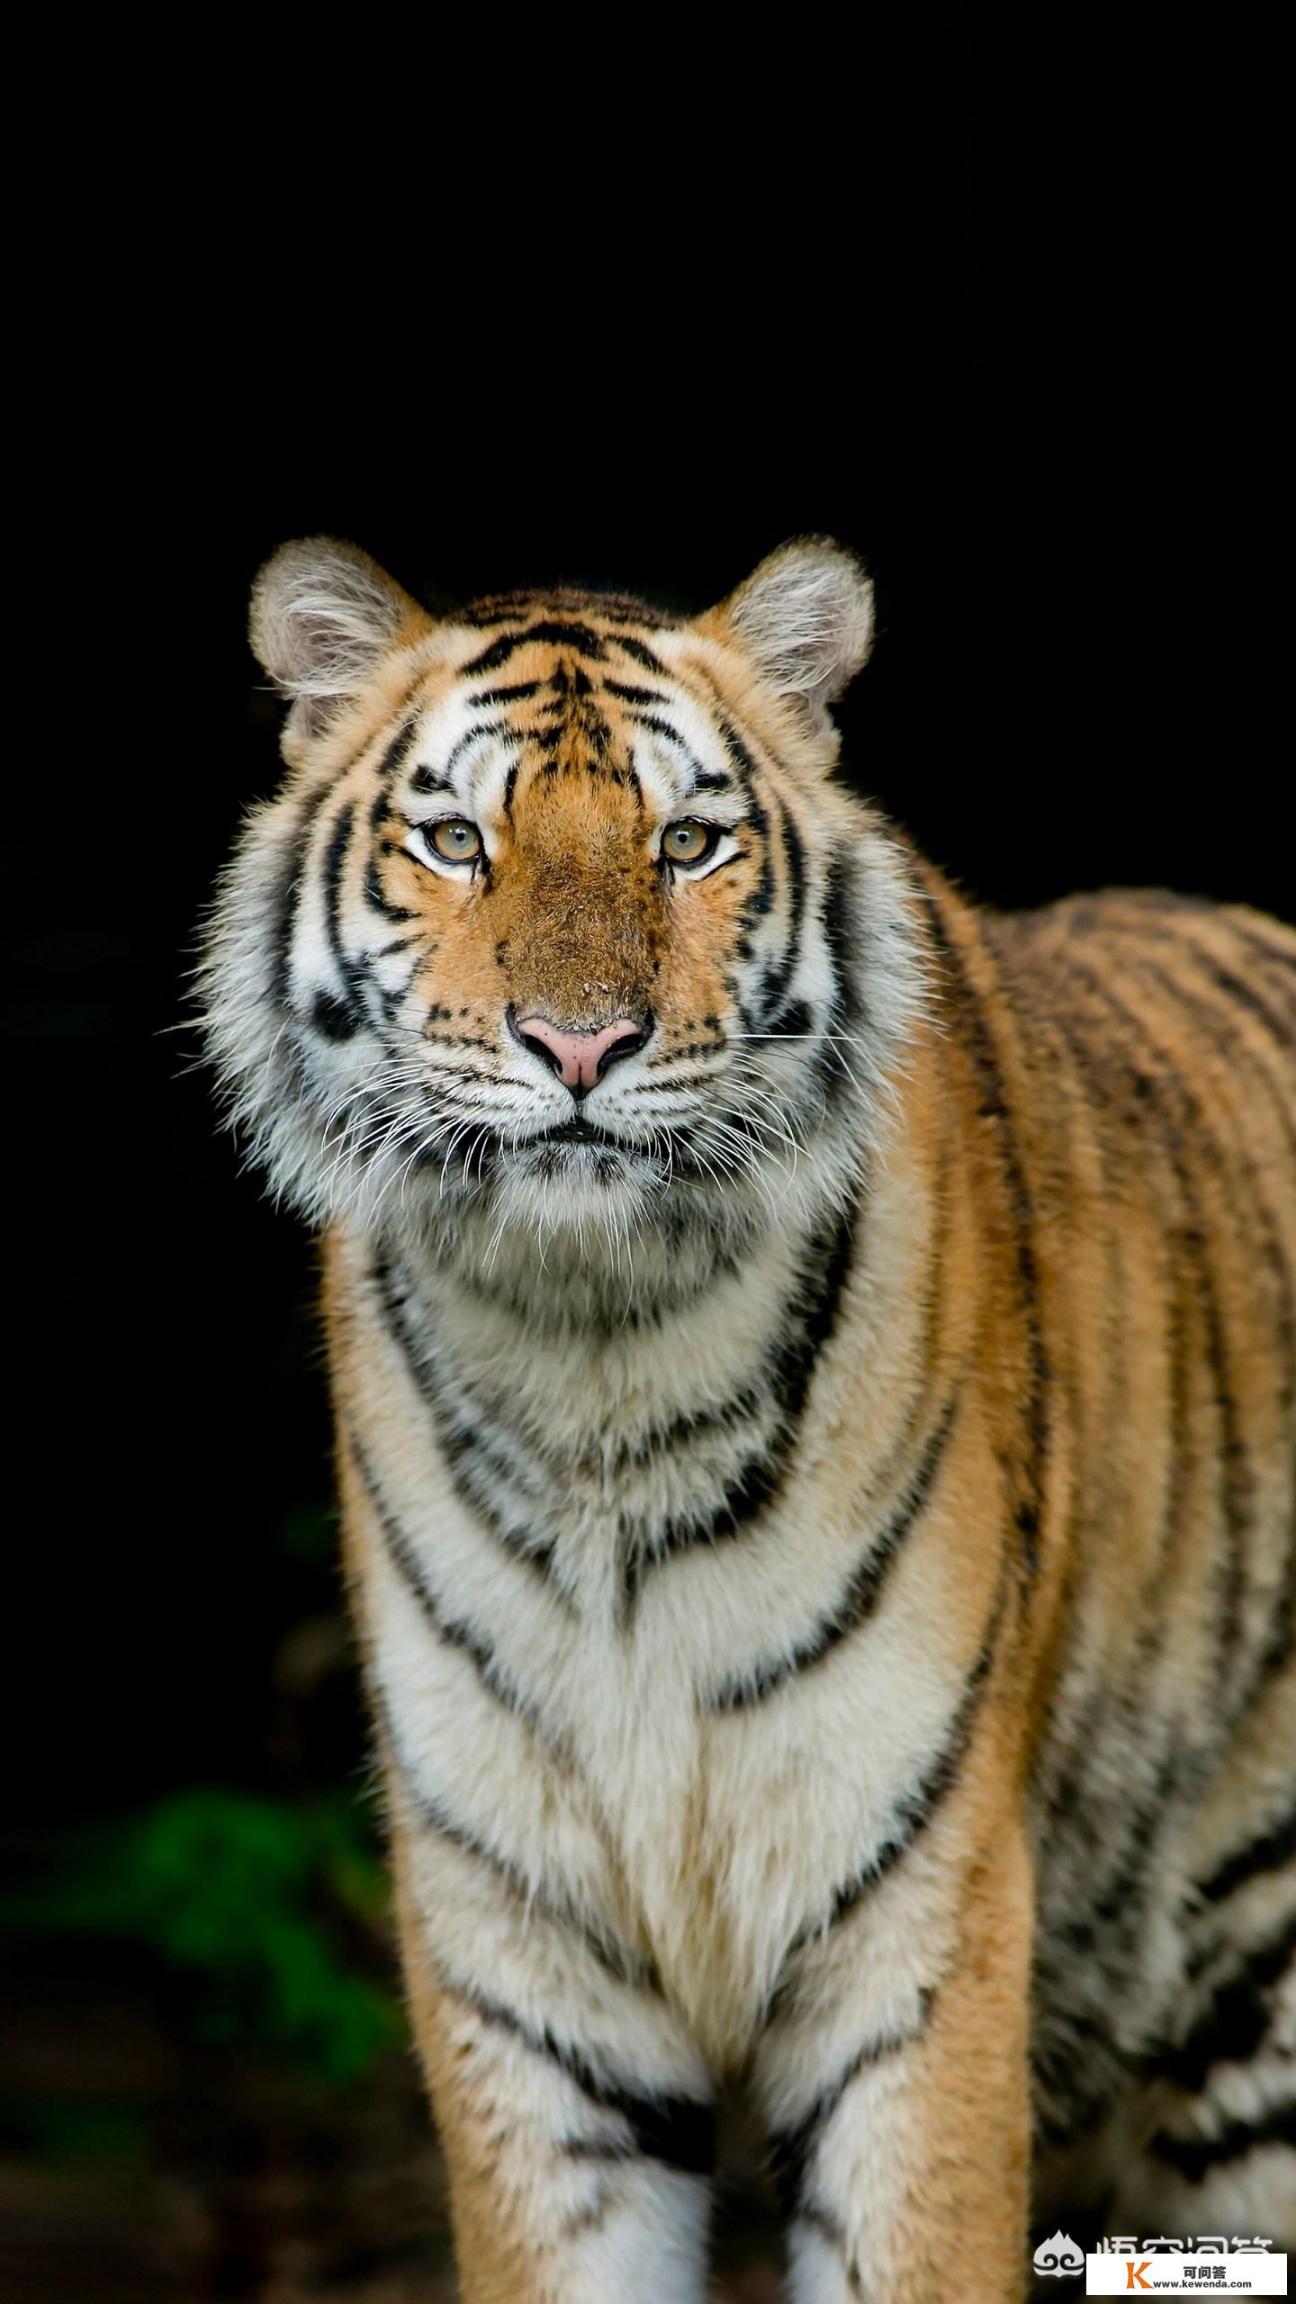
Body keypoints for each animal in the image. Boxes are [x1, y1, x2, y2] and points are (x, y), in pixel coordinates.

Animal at [197, 529, 1282, 2294]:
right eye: (456, 841)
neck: (594, 1368)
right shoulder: (520, 1964)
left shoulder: (921, 1934)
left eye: (689, 841)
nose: (579, 1044)